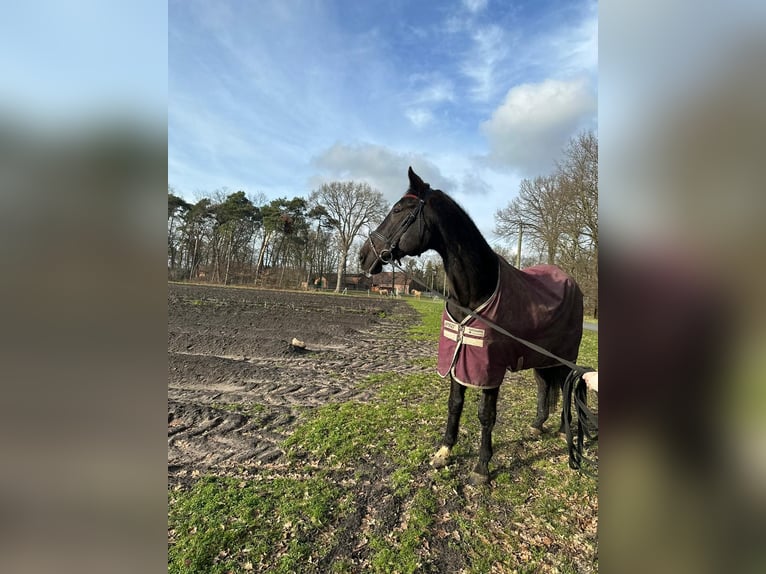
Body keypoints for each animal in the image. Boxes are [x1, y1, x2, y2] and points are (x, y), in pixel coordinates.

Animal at [358, 168, 584, 486]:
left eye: (399, 210)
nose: (363, 256)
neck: (476, 291)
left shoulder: (488, 369)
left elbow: (486, 414)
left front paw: (482, 467)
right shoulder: (457, 357)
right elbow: (455, 404)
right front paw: (444, 452)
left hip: (564, 355)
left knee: (564, 387)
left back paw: (564, 432)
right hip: (540, 356)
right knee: (543, 385)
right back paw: (537, 425)